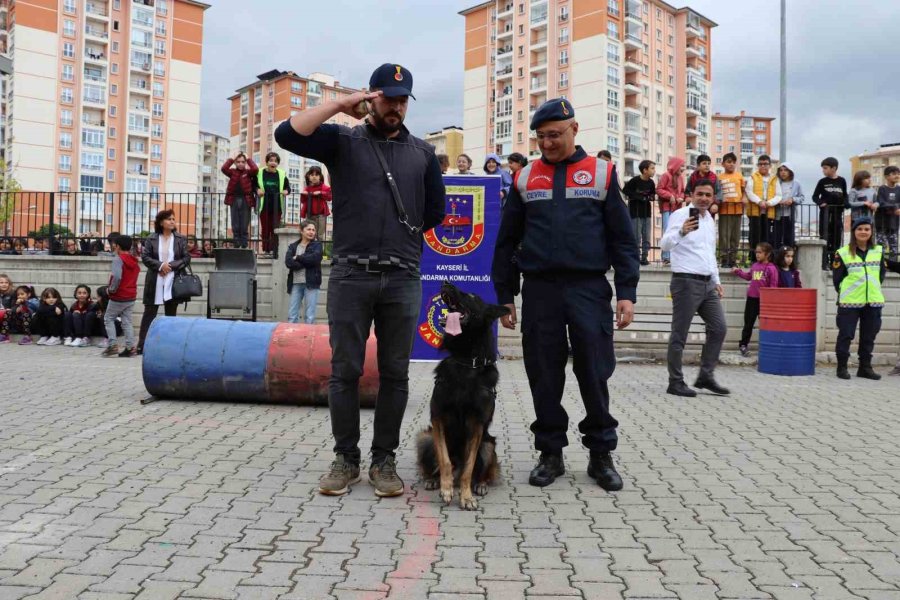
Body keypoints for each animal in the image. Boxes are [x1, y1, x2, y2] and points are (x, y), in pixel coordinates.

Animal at [416, 284, 510, 508]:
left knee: (481, 471)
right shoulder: (438, 418)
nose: (446, 282)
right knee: (435, 465)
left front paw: (466, 496)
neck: (467, 362)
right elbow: (445, 461)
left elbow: (469, 467)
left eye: (472, 296)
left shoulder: (477, 425)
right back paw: (433, 480)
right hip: (426, 439)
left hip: (488, 445)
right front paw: (446, 489)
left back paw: (480, 484)